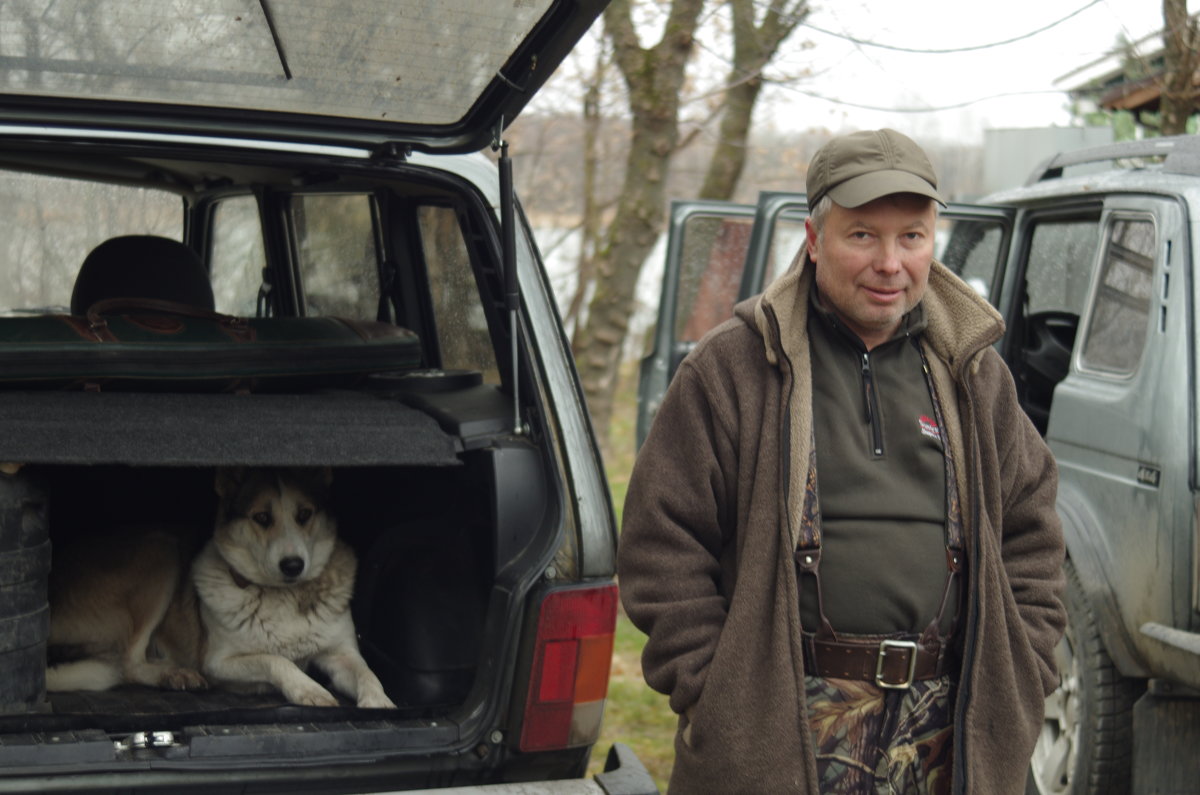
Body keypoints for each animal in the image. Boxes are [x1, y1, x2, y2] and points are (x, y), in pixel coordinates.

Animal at [46, 468, 396, 710]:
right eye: (262, 517)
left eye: (304, 514)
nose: (293, 565)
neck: (284, 594)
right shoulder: (218, 662)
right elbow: (274, 659)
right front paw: (308, 689)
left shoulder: (342, 654)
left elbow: (368, 673)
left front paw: (379, 702)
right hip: (161, 551)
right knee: (128, 664)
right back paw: (175, 674)